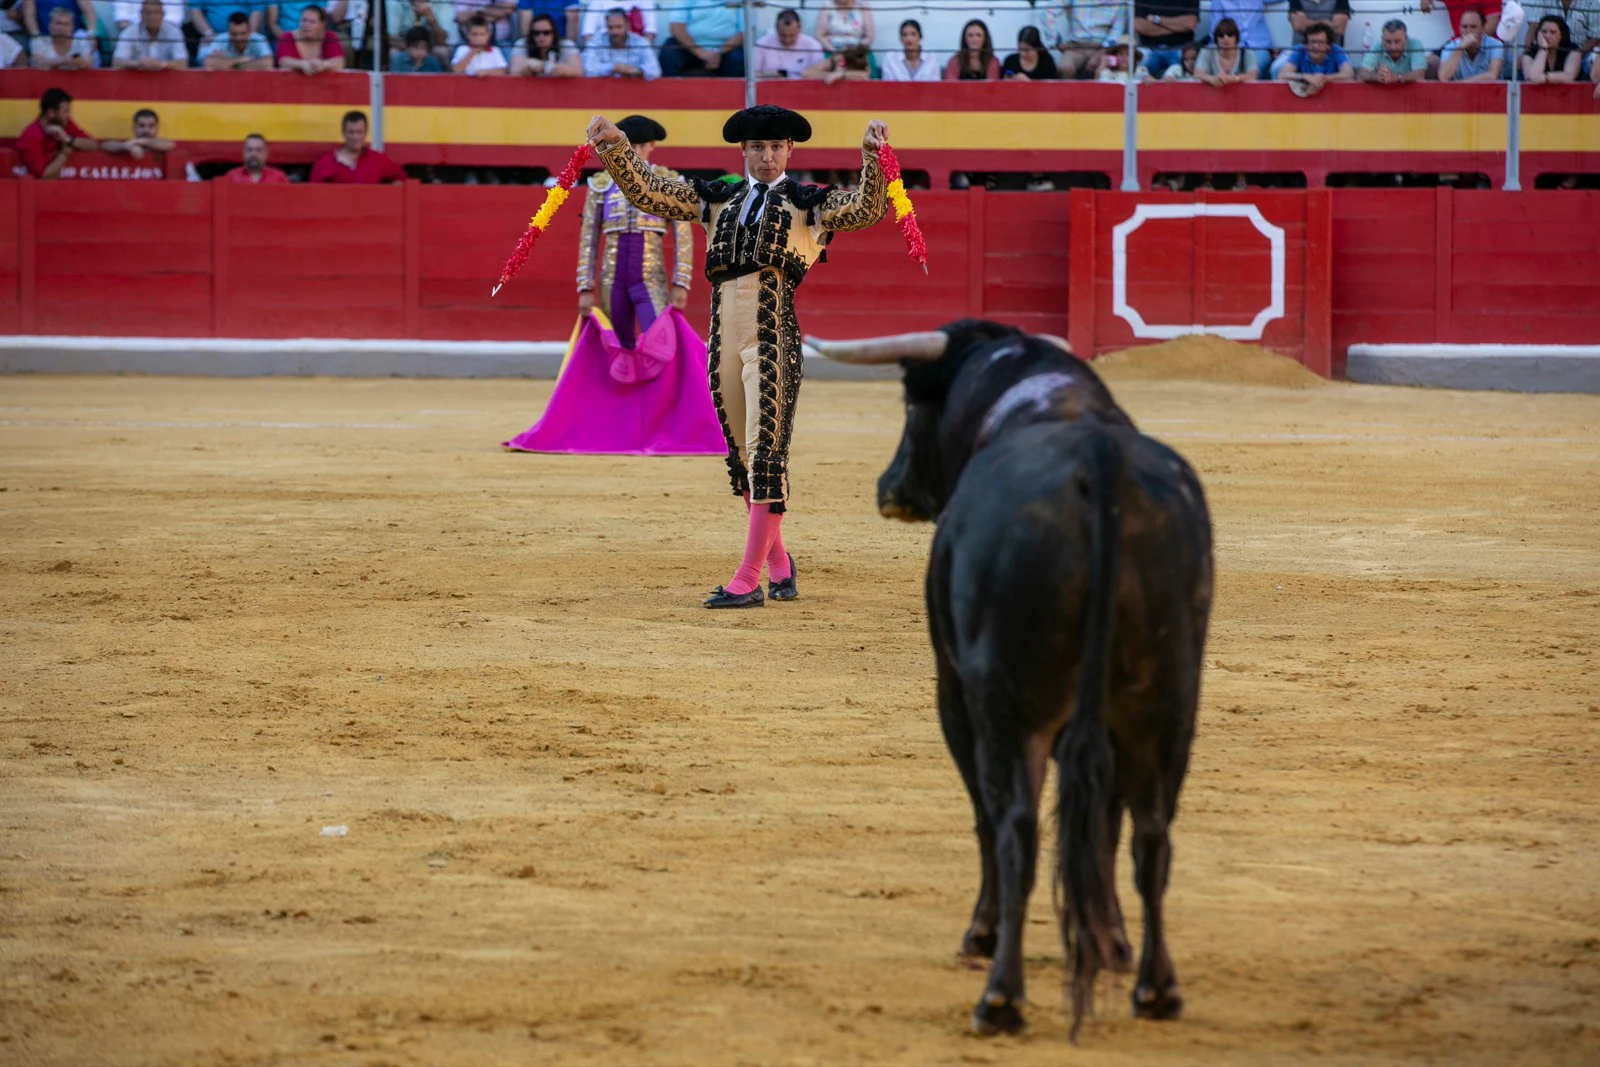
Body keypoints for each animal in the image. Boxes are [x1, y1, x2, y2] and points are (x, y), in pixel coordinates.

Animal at [812, 319, 1209, 1043]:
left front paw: (983, 932)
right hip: (1169, 702)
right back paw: (1155, 987)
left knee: (1016, 823)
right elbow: (1103, 827)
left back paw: (1000, 995)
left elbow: (985, 815)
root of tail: (1097, 463)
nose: (887, 485)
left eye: (909, 406)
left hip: (1005, 705)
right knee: (1151, 832)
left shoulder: (955, 692)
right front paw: (1110, 941)